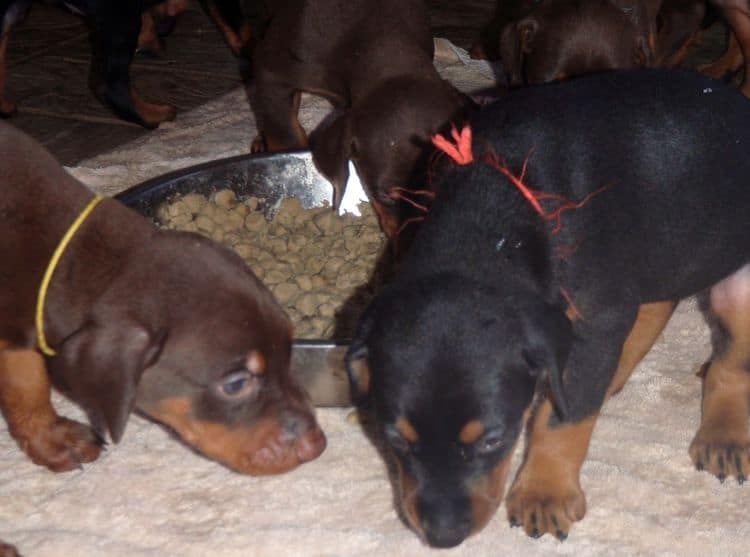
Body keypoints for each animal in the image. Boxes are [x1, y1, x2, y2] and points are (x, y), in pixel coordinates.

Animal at [0, 119, 326, 498]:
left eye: (289, 353)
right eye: (235, 385)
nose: (316, 446)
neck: (66, 252)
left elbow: (28, 386)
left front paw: (51, 439)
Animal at [346, 67, 750, 544]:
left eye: (493, 439)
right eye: (396, 440)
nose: (443, 537)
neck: (496, 208)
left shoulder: (596, 322)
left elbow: (562, 418)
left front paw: (545, 492)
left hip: (735, 284)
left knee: (730, 359)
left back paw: (723, 435)